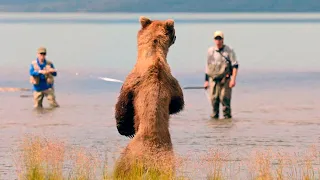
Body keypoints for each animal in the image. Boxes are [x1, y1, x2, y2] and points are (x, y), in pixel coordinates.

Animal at [113, 16, 184, 178]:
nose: (176, 36)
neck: (153, 53)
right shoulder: (171, 81)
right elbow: (178, 103)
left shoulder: (134, 80)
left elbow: (123, 103)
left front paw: (124, 128)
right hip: (166, 162)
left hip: (130, 156)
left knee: (120, 170)